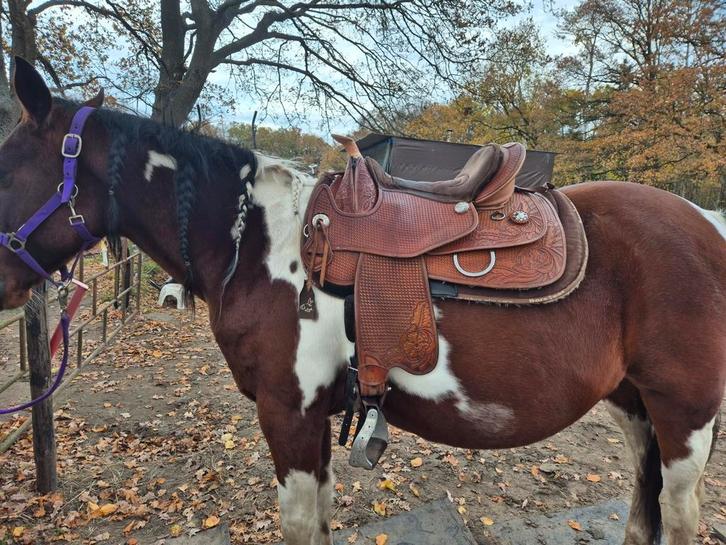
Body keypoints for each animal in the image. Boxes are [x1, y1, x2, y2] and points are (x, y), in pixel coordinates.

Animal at [0, 58, 723, 545]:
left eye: (5, 170)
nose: (4, 283)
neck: (256, 244)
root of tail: (708, 224)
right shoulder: (315, 418)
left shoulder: (288, 415)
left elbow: (299, 524)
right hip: (633, 406)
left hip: (685, 415)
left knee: (680, 513)